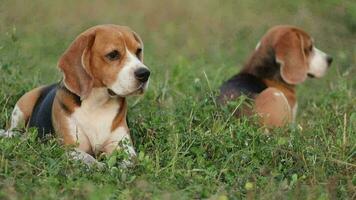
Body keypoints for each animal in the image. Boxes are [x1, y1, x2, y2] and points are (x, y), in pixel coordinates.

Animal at [0, 24, 150, 166]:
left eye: (138, 51)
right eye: (113, 55)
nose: (145, 74)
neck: (98, 104)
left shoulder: (124, 148)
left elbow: (129, 162)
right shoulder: (70, 147)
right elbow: (88, 158)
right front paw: (100, 166)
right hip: (22, 107)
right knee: (13, 131)